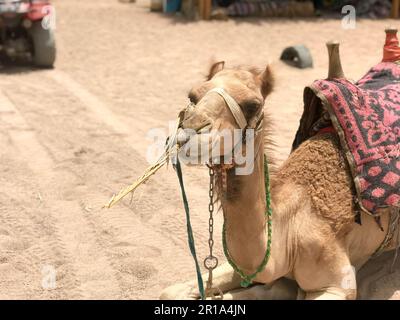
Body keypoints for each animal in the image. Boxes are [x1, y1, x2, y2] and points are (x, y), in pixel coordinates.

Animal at [161, 41, 398, 298]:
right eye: (192, 95)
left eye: (252, 105)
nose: (190, 132)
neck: (290, 228)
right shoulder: (248, 267)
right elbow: (171, 291)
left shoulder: (338, 284)